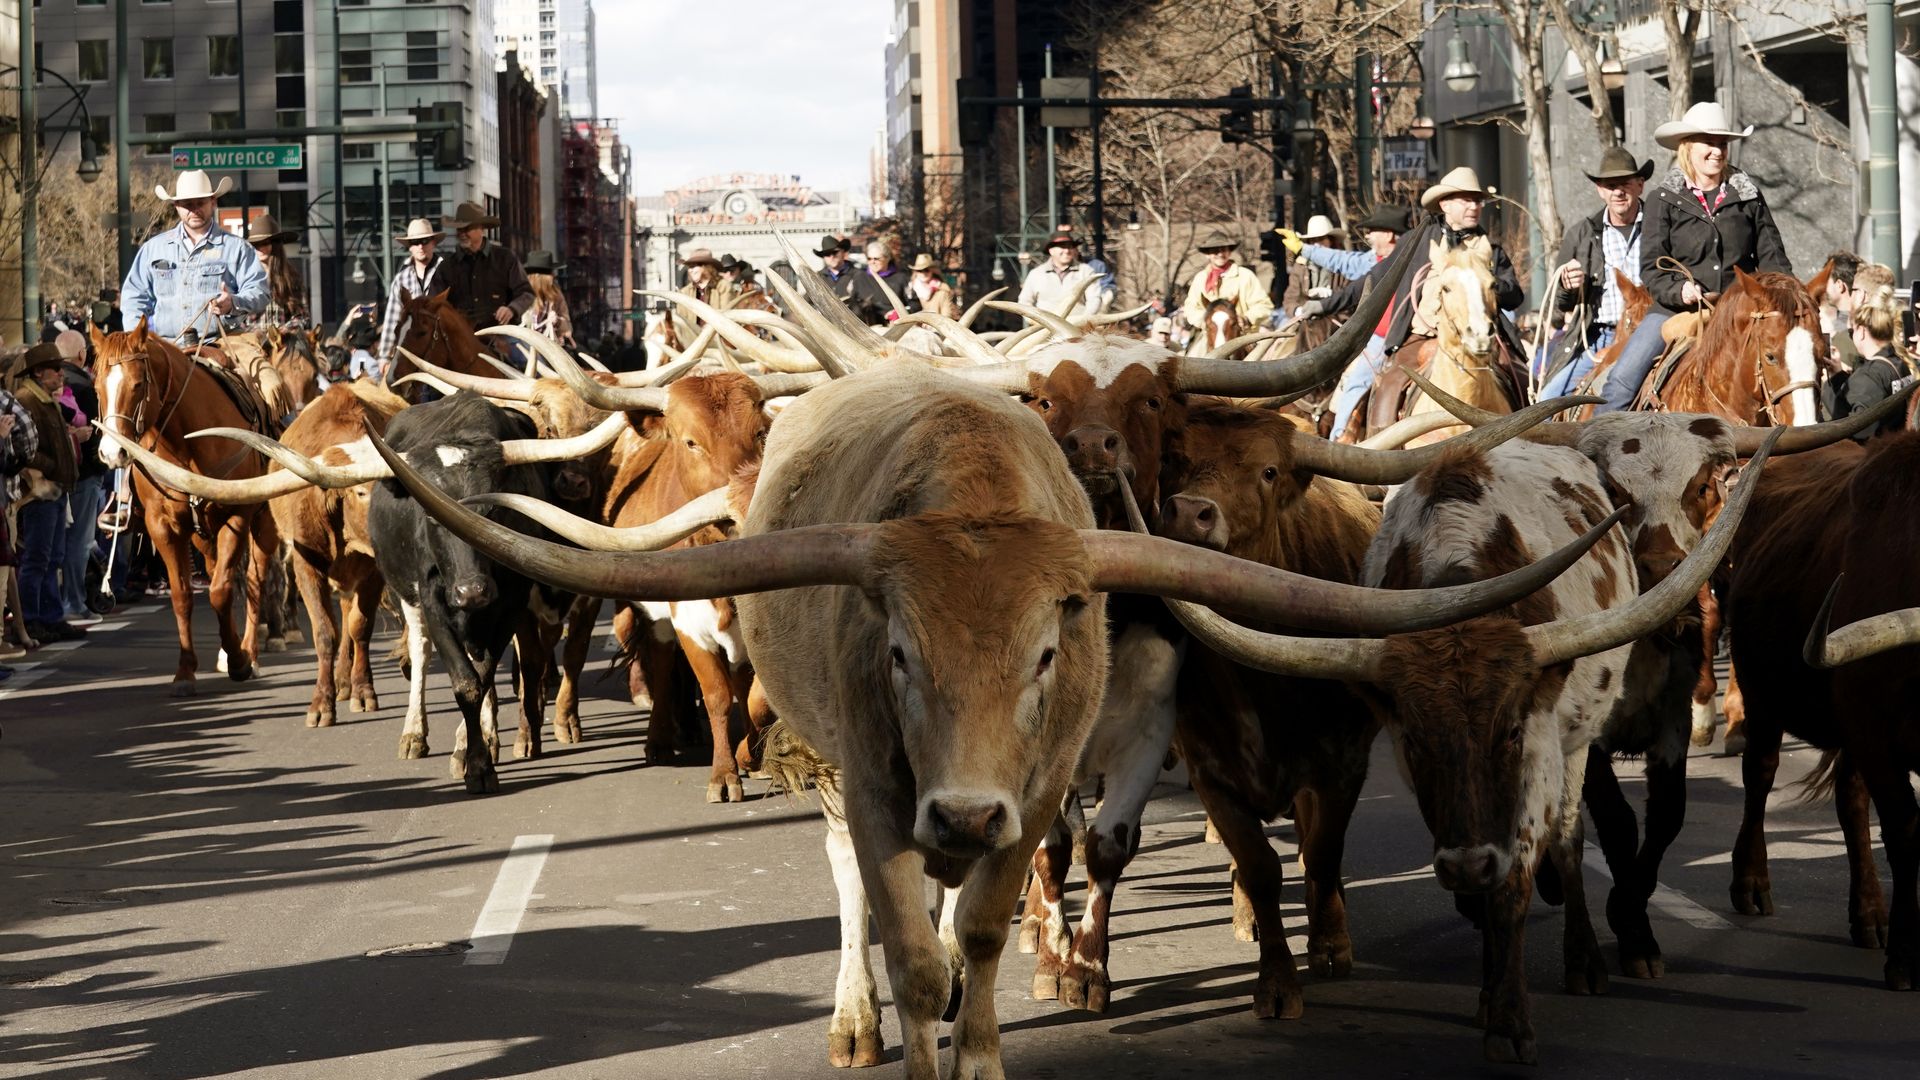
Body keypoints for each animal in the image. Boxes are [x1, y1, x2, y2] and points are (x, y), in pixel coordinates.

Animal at [91, 315, 280, 691]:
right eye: (96, 388)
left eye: (138, 385)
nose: (111, 453)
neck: (186, 443)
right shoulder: (163, 528)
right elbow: (182, 596)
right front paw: (185, 671)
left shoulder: (236, 517)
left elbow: (221, 590)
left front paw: (239, 660)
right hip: (201, 534)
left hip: (262, 523)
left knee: (255, 580)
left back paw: (249, 652)